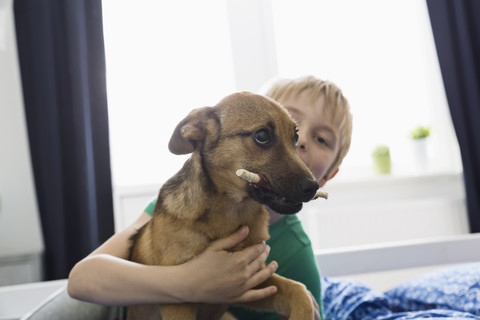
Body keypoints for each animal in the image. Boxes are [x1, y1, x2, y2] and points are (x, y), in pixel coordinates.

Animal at [129, 91, 320, 318]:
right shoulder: (178, 300)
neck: (232, 213)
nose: (313, 187)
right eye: (262, 136)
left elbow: (299, 290)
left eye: (295, 137)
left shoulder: (254, 279)